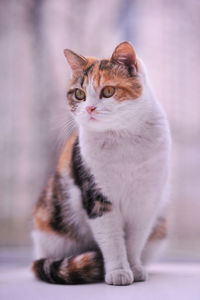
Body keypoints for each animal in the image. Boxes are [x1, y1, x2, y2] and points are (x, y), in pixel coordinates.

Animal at [31, 41, 170, 284]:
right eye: (79, 94)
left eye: (108, 91)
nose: (89, 108)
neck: (122, 136)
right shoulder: (96, 195)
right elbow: (112, 239)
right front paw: (118, 271)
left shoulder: (145, 201)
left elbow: (134, 240)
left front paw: (134, 268)